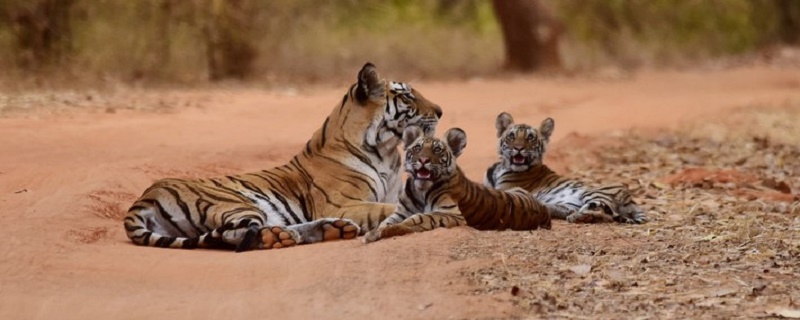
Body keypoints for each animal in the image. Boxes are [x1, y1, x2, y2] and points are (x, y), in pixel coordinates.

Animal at [123, 63, 444, 252]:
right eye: (407, 96)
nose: (440, 111)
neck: (387, 150)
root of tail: (143, 198)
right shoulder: (342, 204)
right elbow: (385, 209)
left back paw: (329, 230)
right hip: (234, 203)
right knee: (236, 236)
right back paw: (286, 237)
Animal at [362, 125, 552, 242]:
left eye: (437, 150)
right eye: (417, 148)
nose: (423, 160)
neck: (420, 189)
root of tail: (544, 210)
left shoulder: (452, 214)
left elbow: (419, 217)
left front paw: (387, 231)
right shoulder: (401, 211)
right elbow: (387, 221)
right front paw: (374, 232)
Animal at [484, 114, 648, 224]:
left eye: (530, 137)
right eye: (511, 136)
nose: (518, 148)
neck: (501, 167)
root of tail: (631, 198)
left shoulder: (506, 189)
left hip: (593, 193)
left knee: (604, 213)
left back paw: (576, 217)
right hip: (568, 203)